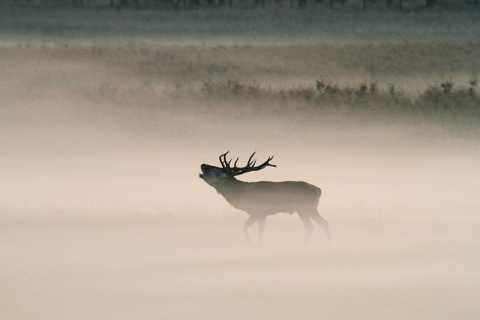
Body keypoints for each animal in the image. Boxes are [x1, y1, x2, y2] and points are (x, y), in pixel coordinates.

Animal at [199, 151, 330, 246]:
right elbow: (257, 231)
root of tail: (318, 190)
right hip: (308, 209)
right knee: (321, 223)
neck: (240, 194)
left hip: (305, 208)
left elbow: (249, 229)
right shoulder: (262, 214)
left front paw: (254, 245)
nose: (202, 164)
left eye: (215, 170)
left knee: (312, 226)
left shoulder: (258, 212)